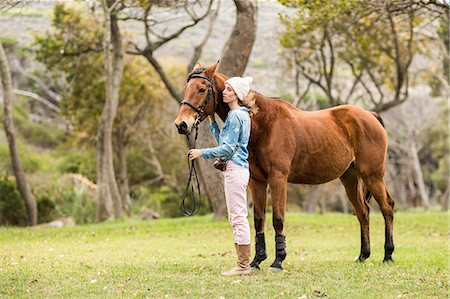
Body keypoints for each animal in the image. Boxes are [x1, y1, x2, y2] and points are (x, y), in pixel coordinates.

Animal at [174, 62, 396, 272]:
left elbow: (278, 219)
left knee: (387, 208)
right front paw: (256, 261)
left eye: (202, 89)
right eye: (186, 88)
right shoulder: (256, 181)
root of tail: (370, 115)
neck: (263, 123)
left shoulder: (278, 179)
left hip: (373, 176)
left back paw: (388, 255)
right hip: (349, 178)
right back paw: (363, 256)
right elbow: (258, 220)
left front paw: (278, 261)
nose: (181, 124)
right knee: (363, 212)